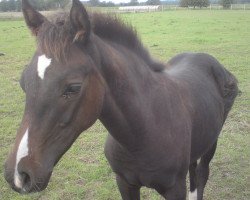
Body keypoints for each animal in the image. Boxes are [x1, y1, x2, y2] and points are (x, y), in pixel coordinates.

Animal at [4, 0, 238, 199]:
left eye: (73, 87)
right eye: (23, 82)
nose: (18, 175)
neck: (144, 132)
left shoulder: (174, 189)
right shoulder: (125, 183)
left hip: (212, 142)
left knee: (201, 174)